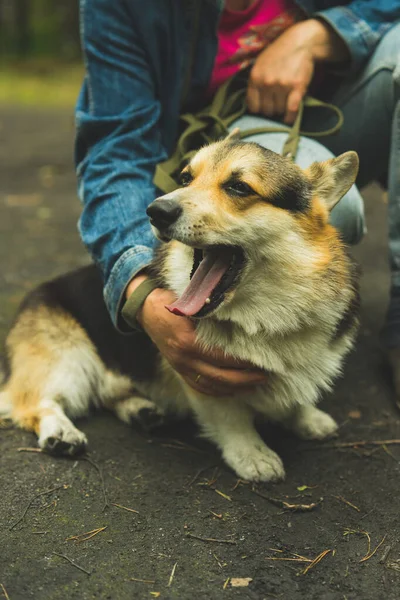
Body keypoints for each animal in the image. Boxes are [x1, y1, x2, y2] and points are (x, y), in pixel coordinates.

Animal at [0, 137, 360, 482]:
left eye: (239, 187)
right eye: (186, 178)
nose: (156, 211)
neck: (267, 312)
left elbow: (298, 397)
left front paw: (308, 418)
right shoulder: (203, 377)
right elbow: (233, 420)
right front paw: (253, 456)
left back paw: (140, 410)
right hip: (67, 360)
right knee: (34, 402)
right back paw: (60, 432)